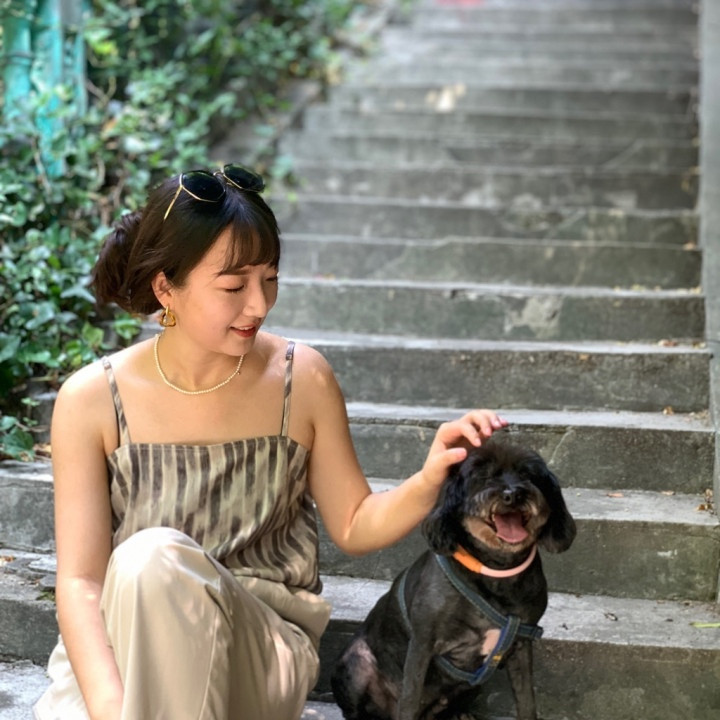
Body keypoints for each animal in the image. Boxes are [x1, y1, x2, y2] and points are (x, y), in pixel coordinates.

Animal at [331, 440, 576, 720]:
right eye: (482, 475)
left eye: (528, 474)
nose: (513, 494)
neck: (495, 569)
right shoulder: (422, 643)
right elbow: (409, 698)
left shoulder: (522, 643)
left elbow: (526, 701)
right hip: (357, 662)